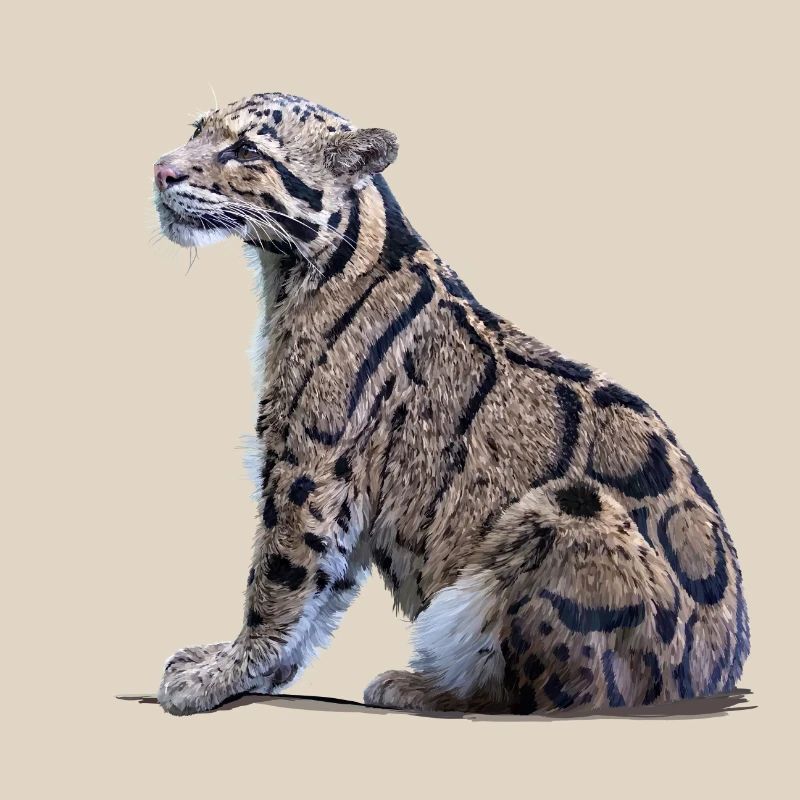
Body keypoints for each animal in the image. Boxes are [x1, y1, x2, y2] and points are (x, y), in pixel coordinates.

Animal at [153, 91, 749, 715]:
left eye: (247, 150)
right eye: (197, 129)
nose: (161, 171)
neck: (289, 273)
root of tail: (717, 673)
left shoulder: (308, 463)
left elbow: (281, 577)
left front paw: (223, 672)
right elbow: (323, 587)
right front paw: (254, 669)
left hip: (570, 510)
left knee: (559, 695)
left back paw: (423, 685)